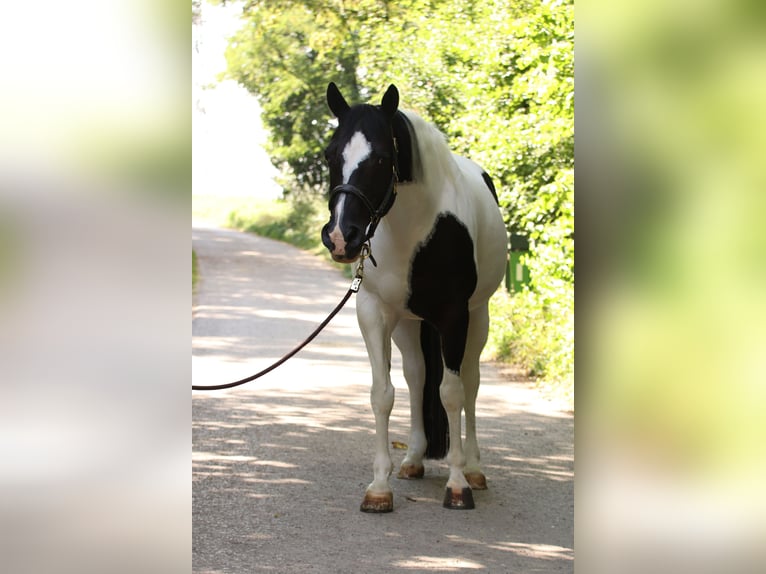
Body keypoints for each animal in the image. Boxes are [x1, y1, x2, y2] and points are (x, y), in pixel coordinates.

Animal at [320, 82, 508, 512]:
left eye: (382, 158)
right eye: (329, 154)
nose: (341, 237)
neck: (419, 229)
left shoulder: (455, 317)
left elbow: (453, 394)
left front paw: (457, 484)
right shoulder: (373, 312)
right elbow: (383, 394)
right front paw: (379, 487)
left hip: (479, 317)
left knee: (470, 383)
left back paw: (474, 468)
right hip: (408, 324)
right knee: (417, 376)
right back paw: (413, 459)